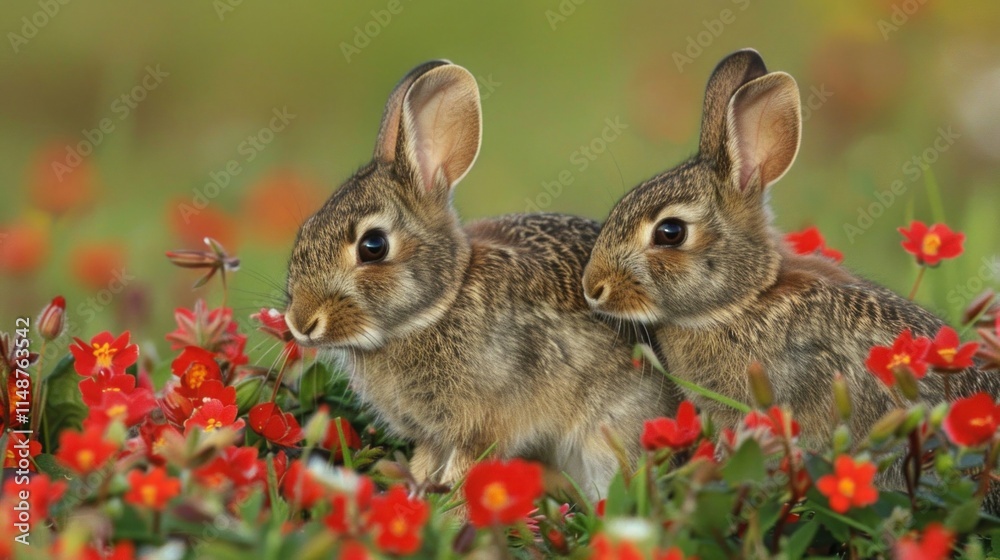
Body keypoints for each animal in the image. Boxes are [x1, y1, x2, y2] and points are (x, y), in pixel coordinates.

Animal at [282, 60, 679, 498]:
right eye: (306, 229)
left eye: (373, 246)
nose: (300, 323)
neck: (438, 307)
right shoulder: (433, 436)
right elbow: (425, 464)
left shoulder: (481, 426)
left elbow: (464, 471)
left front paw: (451, 507)